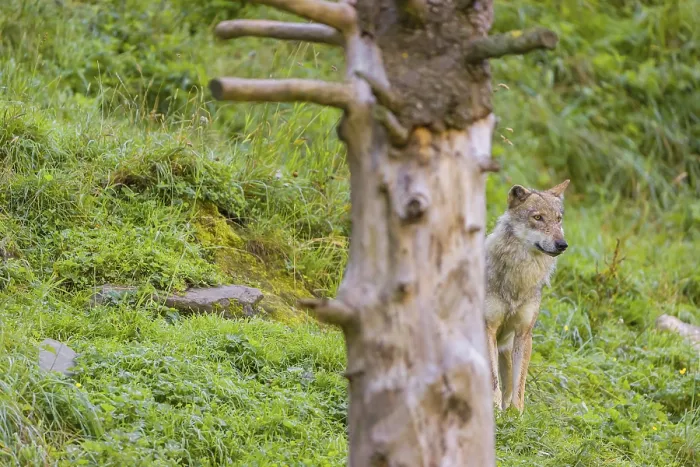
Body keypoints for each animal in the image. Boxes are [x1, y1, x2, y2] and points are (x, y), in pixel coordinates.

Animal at [484, 179, 570, 411]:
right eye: (538, 218)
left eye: (558, 219)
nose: (562, 244)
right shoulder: (488, 329)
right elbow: (493, 382)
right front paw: (495, 412)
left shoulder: (524, 333)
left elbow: (518, 387)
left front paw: (516, 415)